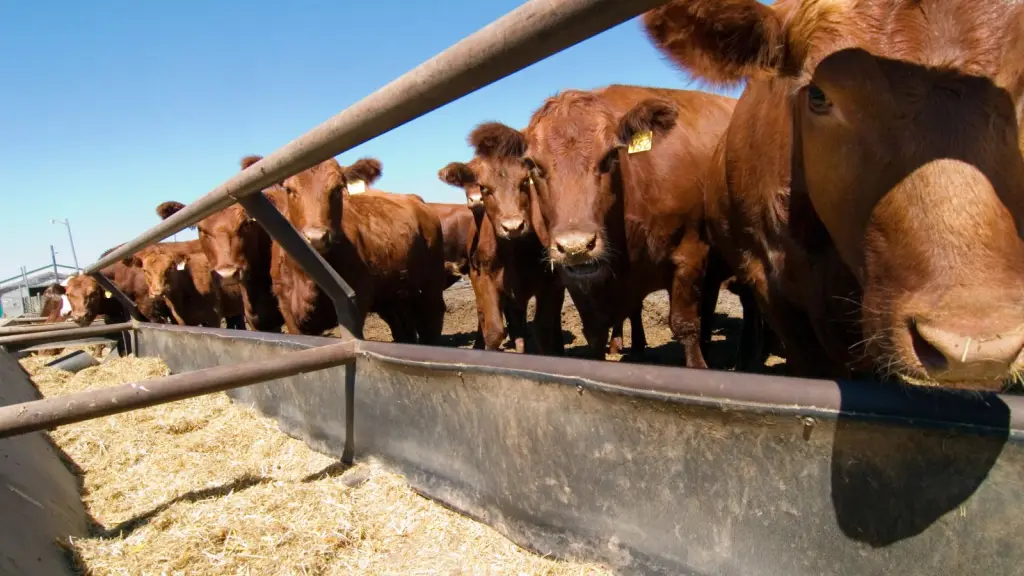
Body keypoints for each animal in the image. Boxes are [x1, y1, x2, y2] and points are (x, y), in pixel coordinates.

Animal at [266, 154, 446, 340]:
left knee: (432, 319)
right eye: (289, 190)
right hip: (395, 291)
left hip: (431, 280)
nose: (316, 237)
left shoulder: (358, 300)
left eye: (338, 189)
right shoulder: (287, 308)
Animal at [475, 84, 733, 362]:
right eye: (533, 165)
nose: (576, 246)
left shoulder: (690, 255)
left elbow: (685, 325)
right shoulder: (574, 277)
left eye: (610, 156)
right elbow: (595, 333)